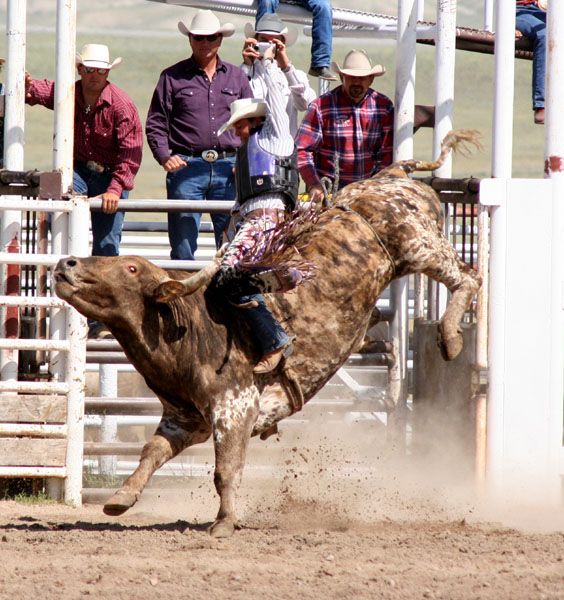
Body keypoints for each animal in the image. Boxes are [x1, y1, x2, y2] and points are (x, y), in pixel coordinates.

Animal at [55, 129, 482, 536]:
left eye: (131, 268)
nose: (65, 263)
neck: (191, 330)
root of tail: (392, 176)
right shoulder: (185, 419)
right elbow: (151, 451)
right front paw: (121, 498)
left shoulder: (235, 408)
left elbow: (225, 471)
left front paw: (224, 522)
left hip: (419, 245)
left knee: (468, 277)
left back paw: (450, 337)